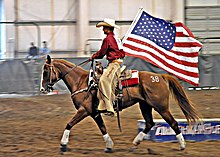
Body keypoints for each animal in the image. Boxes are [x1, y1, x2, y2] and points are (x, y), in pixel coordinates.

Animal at [40, 55, 201, 152]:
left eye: (46, 72)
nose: (42, 89)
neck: (82, 82)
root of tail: (160, 76)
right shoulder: (94, 112)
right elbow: (103, 128)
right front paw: (109, 146)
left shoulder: (84, 109)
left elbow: (69, 123)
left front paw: (63, 144)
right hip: (145, 105)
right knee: (149, 123)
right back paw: (135, 144)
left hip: (161, 107)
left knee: (173, 123)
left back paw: (182, 145)